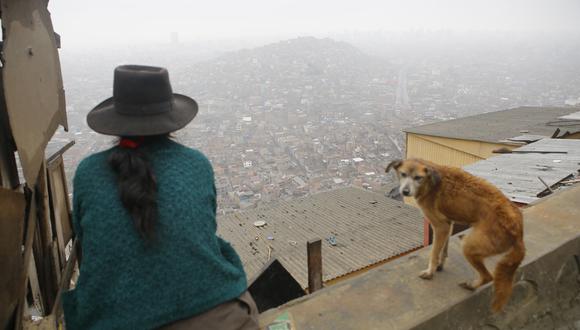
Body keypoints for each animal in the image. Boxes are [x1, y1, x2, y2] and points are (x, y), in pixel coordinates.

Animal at [386, 157, 524, 312]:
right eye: (403, 174)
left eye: (418, 178)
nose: (405, 191)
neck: (430, 183)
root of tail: (518, 231)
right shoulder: (448, 224)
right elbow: (443, 249)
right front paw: (440, 265)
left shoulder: (440, 226)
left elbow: (433, 253)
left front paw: (430, 272)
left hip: (469, 246)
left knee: (488, 277)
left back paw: (471, 286)